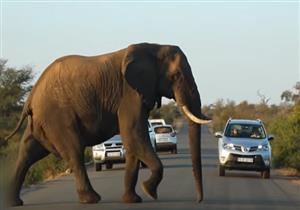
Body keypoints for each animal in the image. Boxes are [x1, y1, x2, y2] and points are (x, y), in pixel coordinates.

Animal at [4, 42, 211, 205]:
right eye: (176, 76)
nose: (198, 200)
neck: (154, 47)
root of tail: (31, 97)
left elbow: (133, 140)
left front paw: (133, 199)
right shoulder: (130, 93)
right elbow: (134, 133)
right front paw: (149, 191)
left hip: (42, 120)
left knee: (28, 152)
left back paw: (13, 202)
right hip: (57, 115)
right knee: (74, 150)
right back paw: (91, 199)